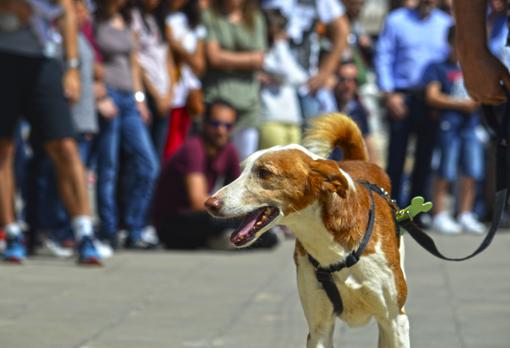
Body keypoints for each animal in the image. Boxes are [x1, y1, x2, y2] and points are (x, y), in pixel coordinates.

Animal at [205, 113, 408, 346]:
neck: (331, 249)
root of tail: (360, 161)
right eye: (241, 170)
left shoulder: (395, 321)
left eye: (264, 172)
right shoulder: (319, 328)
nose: (209, 203)